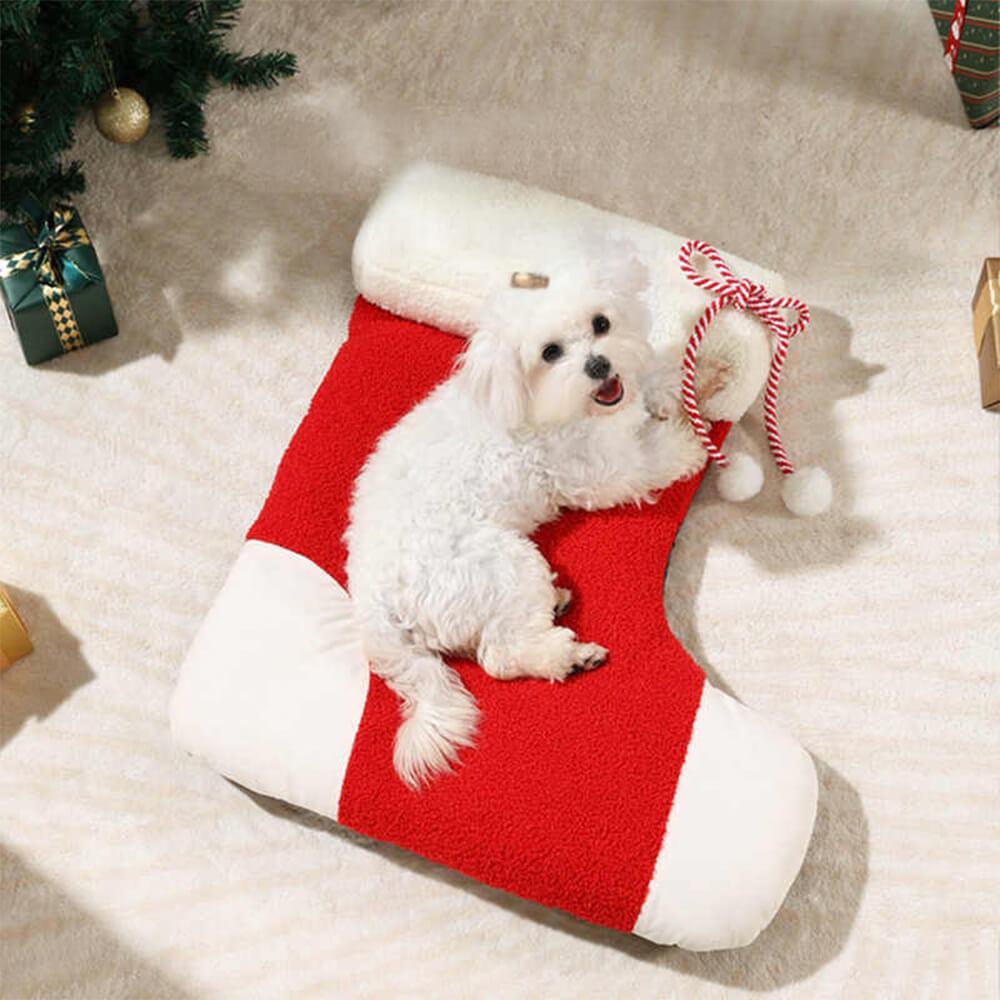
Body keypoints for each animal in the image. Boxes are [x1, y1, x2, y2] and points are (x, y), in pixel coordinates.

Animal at [344, 244, 728, 788]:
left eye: (601, 323)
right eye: (550, 353)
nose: (598, 365)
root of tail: (371, 601)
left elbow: (658, 374)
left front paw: (706, 372)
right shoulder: (602, 471)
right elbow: (655, 455)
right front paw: (692, 439)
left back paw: (560, 604)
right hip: (502, 564)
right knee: (500, 656)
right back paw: (567, 656)